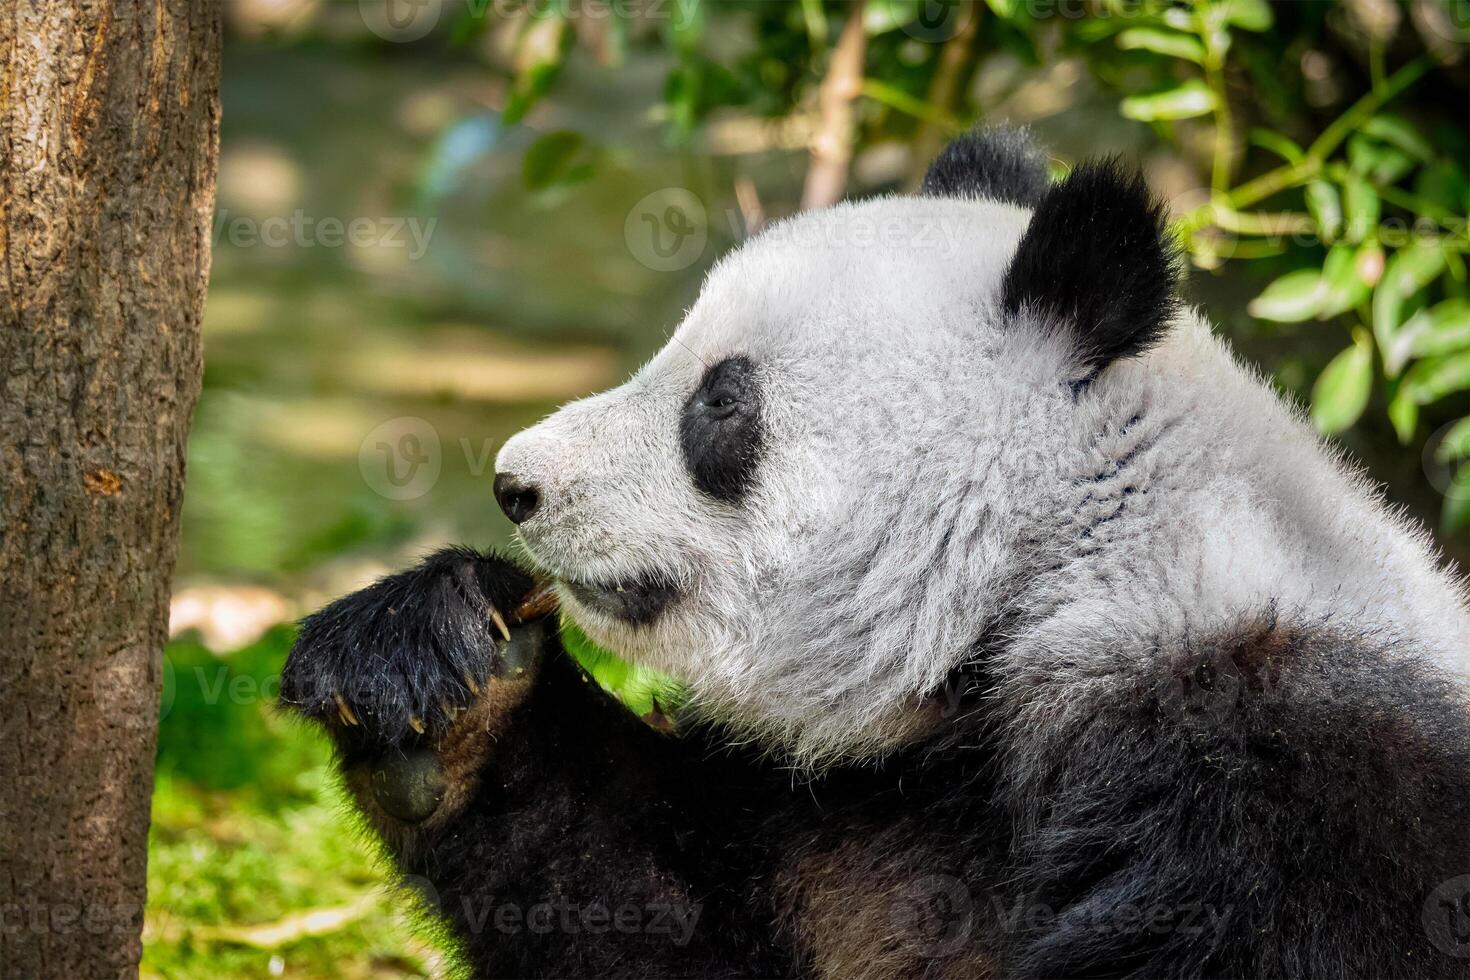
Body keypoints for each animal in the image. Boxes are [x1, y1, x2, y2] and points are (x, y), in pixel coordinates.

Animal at [283, 130, 1470, 980]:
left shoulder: (1301, 795)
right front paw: (437, 673)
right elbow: (662, 917)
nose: (518, 482)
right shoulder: (867, 801)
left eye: (721, 401)